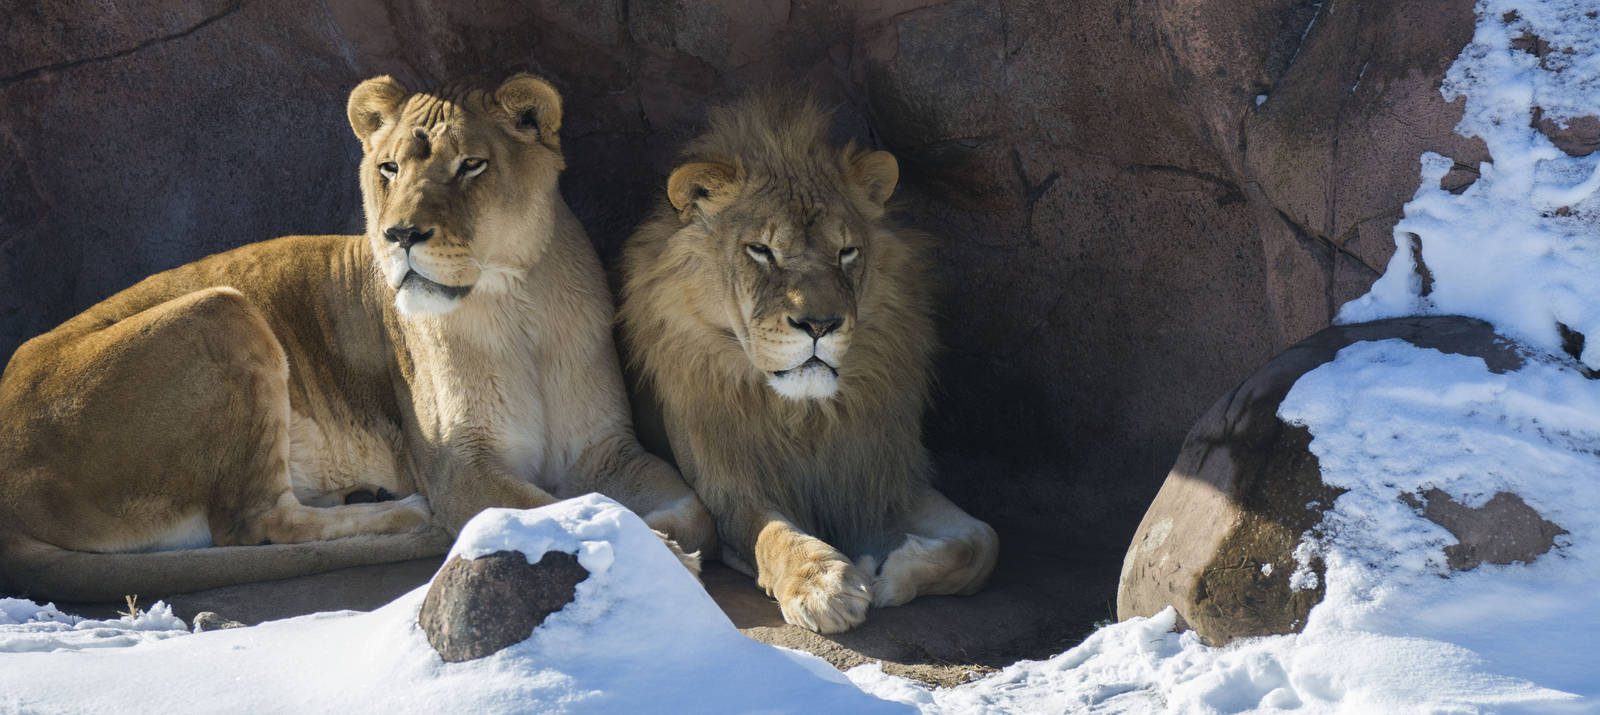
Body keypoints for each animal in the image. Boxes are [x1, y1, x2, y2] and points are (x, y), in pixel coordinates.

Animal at [0, 73, 714, 602]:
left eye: (472, 165)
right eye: (390, 168)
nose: (400, 235)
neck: (518, 307)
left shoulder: (605, 447)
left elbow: (693, 508)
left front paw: (643, 529)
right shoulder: (460, 467)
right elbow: (541, 510)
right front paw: (649, 553)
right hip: (220, 310)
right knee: (253, 524)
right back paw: (406, 516)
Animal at [618, 95, 999, 634]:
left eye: (846, 252)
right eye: (761, 250)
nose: (819, 324)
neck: (804, 413)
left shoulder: (882, 475)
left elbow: (983, 542)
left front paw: (892, 574)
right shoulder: (727, 487)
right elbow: (774, 533)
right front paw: (822, 583)